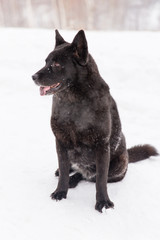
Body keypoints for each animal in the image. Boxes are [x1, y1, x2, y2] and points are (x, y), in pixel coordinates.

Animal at [31, 29, 158, 212]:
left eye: (56, 65)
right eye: (46, 62)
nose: (33, 76)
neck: (74, 102)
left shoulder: (101, 146)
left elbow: (100, 180)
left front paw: (103, 202)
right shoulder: (60, 142)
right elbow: (63, 171)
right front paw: (60, 192)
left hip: (117, 166)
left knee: (88, 176)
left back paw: (75, 179)